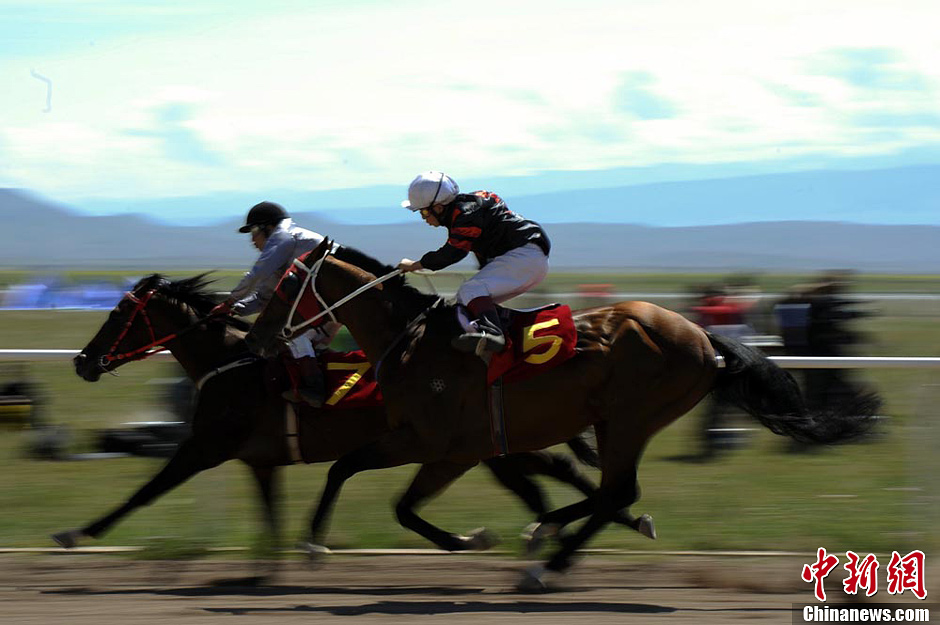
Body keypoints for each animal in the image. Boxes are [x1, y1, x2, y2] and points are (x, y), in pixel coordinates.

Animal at [57, 272, 648, 560]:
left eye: (118, 313)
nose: (83, 361)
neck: (232, 364)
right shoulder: (259, 461)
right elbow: (270, 517)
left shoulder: (206, 446)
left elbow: (146, 490)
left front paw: (78, 533)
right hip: (491, 446)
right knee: (551, 477)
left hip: (481, 445)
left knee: (553, 477)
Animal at [246, 239, 876, 588]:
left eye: (285, 284)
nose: (254, 337)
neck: (413, 340)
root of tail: (703, 336)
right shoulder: (462, 449)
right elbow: (373, 487)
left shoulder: (437, 445)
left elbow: (360, 479)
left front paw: (315, 547)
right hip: (615, 421)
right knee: (612, 491)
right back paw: (550, 536)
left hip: (630, 418)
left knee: (617, 491)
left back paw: (546, 559)